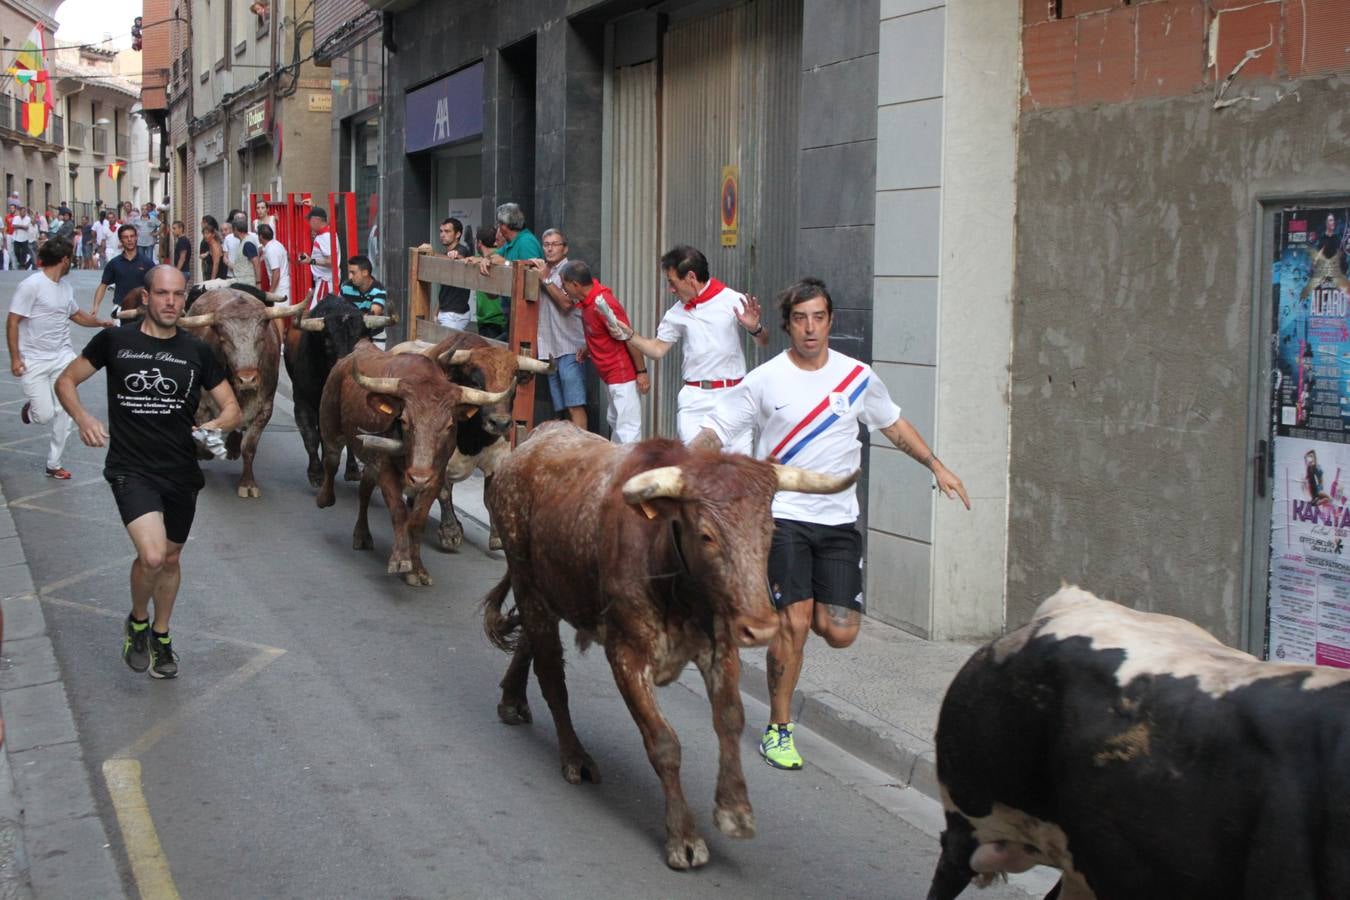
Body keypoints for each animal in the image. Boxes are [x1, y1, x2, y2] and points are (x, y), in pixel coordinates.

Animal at [317, 337, 510, 585]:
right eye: (405, 421)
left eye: (449, 425)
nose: (418, 477)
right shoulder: (386, 470)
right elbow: (399, 512)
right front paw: (401, 560)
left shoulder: (435, 477)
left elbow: (416, 521)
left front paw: (416, 569)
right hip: (331, 427)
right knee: (331, 461)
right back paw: (325, 498)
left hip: (371, 462)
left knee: (365, 489)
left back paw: (362, 535)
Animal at [386, 334, 548, 553]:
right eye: (477, 383)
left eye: (513, 384)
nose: (500, 423)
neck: (472, 437)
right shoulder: (439, 461)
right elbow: (444, 493)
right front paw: (450, 532)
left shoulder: (497, 458)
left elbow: (490, 495)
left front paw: (497, 536)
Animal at [483, 429, 853, 874]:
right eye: (707, 535)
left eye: (770, 529)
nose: (762, 626)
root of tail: (535, 440)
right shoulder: (627, 655)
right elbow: (664, 742)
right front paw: (684, 837)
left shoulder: (720, 648)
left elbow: (730, 720)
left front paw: (734, 809)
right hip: (528, 583)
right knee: (552, 674)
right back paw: (574, 757)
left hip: (550, 591)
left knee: (531, 645)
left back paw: (511, 699)